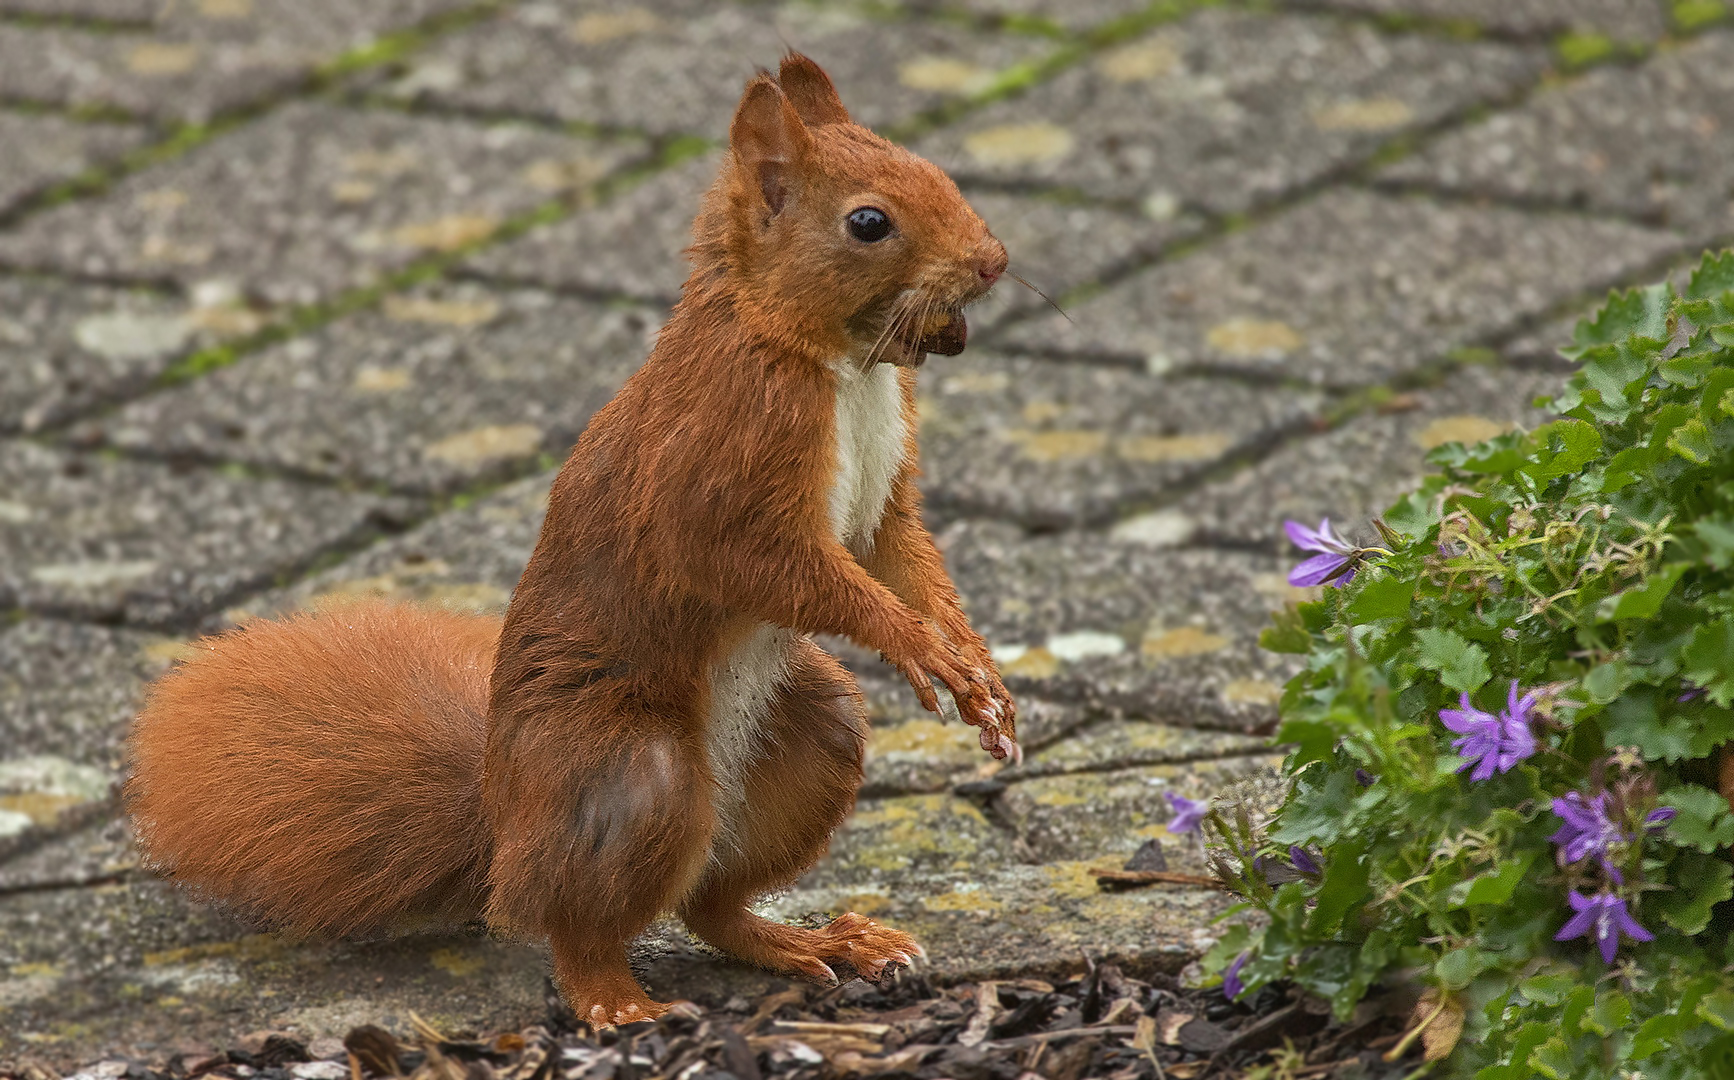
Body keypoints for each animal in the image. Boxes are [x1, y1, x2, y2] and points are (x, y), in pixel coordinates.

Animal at [128, 57, 1019, 1033]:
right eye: (868, 222)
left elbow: (903, 555)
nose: (994, 262)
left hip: (810, 736)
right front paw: (918, 646)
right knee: (575, 924)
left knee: (709, 903)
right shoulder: (722, 461)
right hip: (632, 773)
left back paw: (816, 943)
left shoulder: (886, 499)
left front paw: (973, 663)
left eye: (932, 168)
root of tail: (505, 827)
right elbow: (758, 561)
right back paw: (619, 1001)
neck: (830, 361)